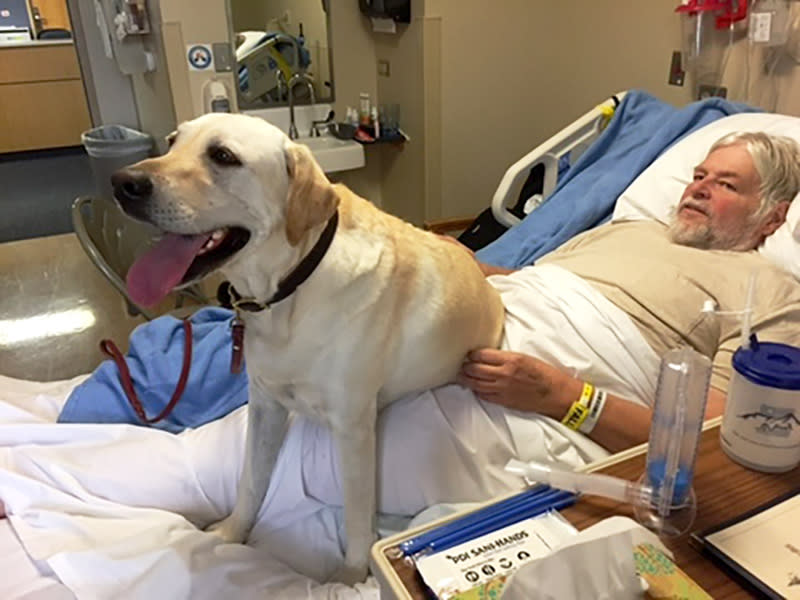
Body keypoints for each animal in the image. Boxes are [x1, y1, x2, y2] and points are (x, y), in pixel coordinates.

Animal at [110, 111, 504, 580]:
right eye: (172, 141)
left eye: (223, 156)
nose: (122, 182)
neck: (290, 288)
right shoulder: (264, 407)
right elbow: (250, 481)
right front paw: (231, 534)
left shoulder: (353, 428)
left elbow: (356, 511)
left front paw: (353, 573)